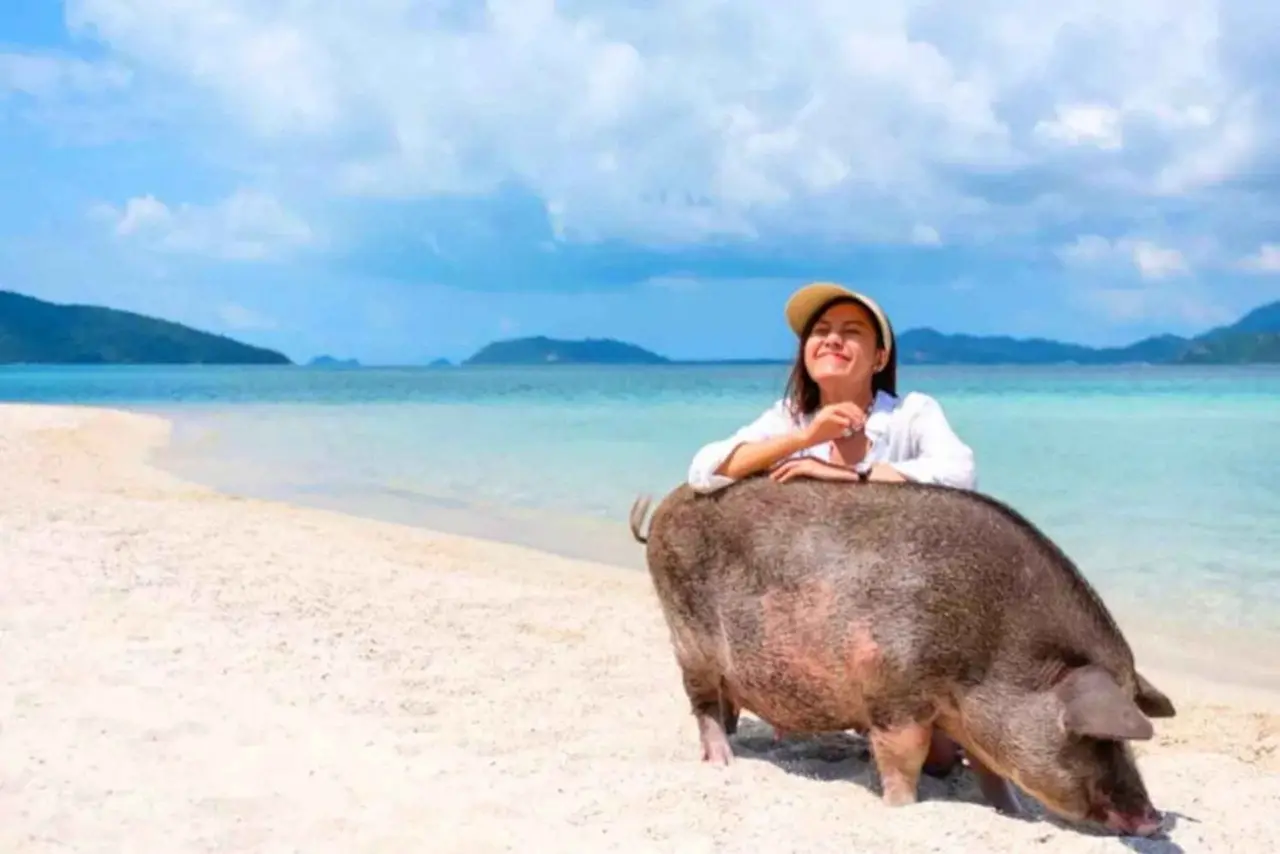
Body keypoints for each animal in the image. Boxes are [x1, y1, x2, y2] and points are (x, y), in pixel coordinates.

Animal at [629, 476, 1176, 838]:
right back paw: (722, 762)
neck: (995, 655)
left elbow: (992, 771)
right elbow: (903, 757)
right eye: (1096, 738)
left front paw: (1014, 813)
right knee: (702, 704)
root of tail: (665, 506)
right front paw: (901, 808)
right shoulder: (893, 693)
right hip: (688, 636)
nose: (1153, 819)